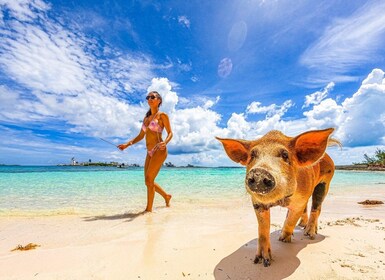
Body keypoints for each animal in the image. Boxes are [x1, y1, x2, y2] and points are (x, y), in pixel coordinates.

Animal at [216, 128, 340, 266]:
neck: (280, 200)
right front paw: (261, 261)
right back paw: (302, 226)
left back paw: (310, 234)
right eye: (252, 155)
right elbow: (263, 228)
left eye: (285, 155)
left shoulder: (300, 200)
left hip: (326, 182)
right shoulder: (257, 202)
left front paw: (283, 239)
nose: (259, 173)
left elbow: (291, 220)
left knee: (317, 207)